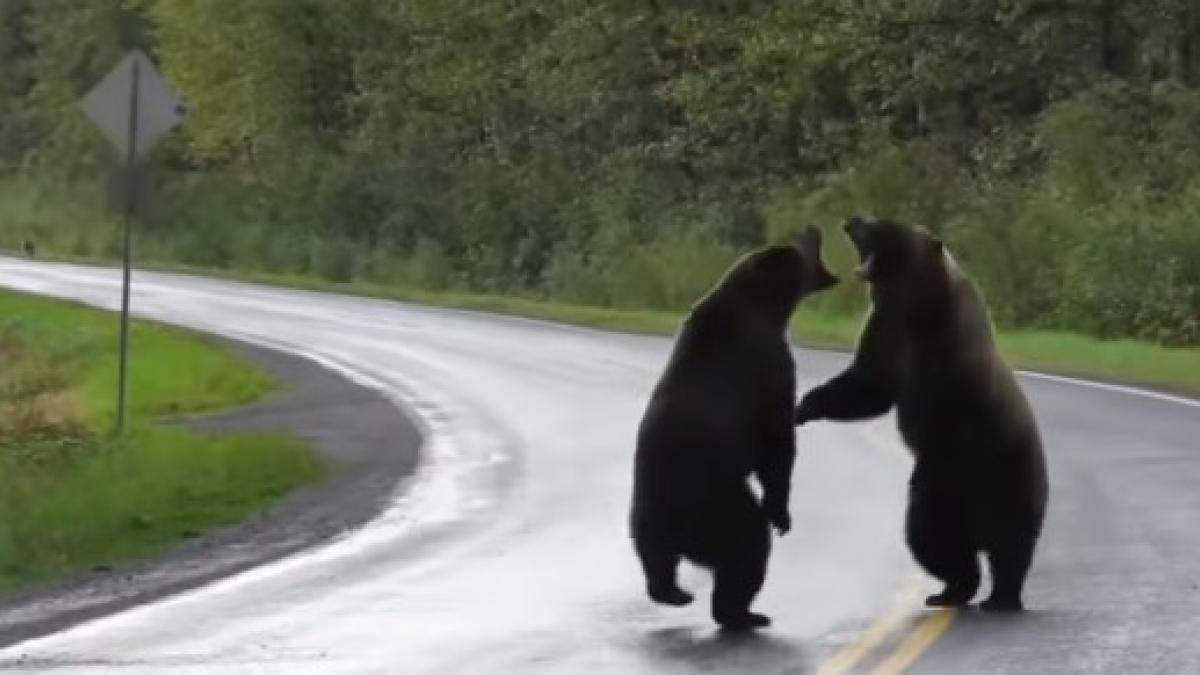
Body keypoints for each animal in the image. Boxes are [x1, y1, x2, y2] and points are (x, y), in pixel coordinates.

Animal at [633, 225, 840, 624]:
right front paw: (782, 514)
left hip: (647, 514)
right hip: (719, 507)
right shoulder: (769, 364)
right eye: (798, 246)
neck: (763, 308)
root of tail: (681, 531)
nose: (814, 228)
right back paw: (742, 613)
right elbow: (776, 441)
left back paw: (674, 593)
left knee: (656, 559)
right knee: (748, 548)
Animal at [796, 216, 1051, 610]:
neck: (918, 306)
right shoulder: (889, 329)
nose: (852, 220)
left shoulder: (951, 354)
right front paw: (806, 405)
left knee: (999, 542)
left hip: (1004, 476)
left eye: (882, 225)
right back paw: (952, 590)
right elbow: (871, 383)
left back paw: (1000, 596)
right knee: (942, 542)